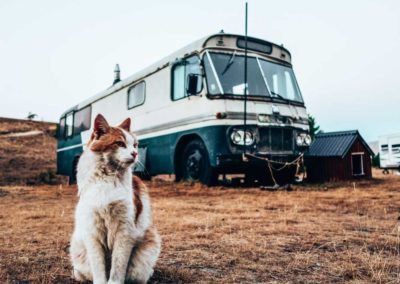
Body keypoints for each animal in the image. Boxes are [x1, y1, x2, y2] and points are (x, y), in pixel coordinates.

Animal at [69, 113, 160, 284]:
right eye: (120, 143)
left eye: (135, 145)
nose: (135, 153)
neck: (107, 178)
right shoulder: (93, 231)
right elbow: (98, 267)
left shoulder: (124, 231)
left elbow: (118, 266)